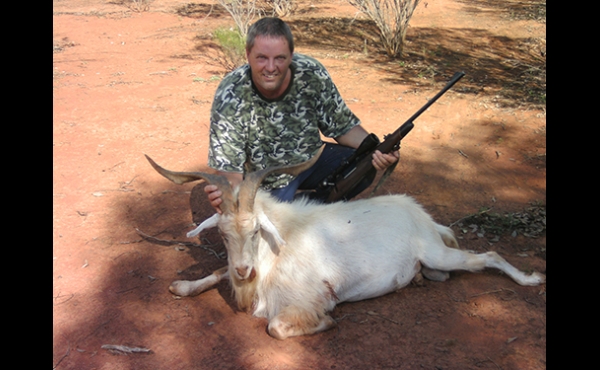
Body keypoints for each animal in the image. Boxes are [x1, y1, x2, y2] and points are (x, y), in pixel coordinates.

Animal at [144, 148, 544, 342]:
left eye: (257, 230)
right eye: (225, 235)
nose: (243, 270)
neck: (278, 249)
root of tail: (420, 215)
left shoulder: (304, 300)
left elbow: (276, 327)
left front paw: (327, 323)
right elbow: (207, 276)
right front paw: (183, 284)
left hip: (437, 252)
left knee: (486, 255)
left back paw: (531, 279)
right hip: (436, 263)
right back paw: (416, 279)